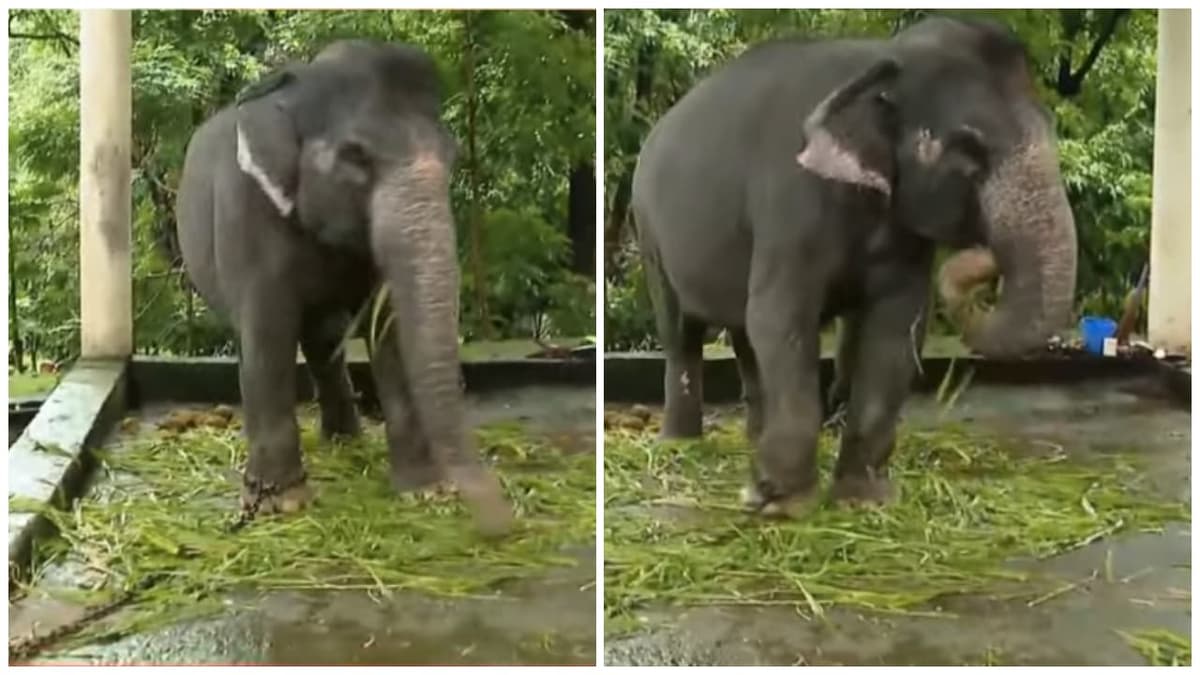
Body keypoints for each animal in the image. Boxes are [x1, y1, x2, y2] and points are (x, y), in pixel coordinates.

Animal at [175, 39, 512, 535]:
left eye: (450, 155)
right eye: (356, 156)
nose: (500, 522)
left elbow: (390, 330)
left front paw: (424, 491)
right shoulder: (247, 212)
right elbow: (269, 335)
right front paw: (283, 505)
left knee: (323, 338)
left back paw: (345, 440)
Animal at [631, 16, 1078, 515]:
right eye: (968, 149)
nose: (982, 251)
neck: (882, 59)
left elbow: (896, 330)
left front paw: (864, 500)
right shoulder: (790, 203)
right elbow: (781, 319)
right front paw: (779, 502)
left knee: (744, 335)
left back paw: (753, 440)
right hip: (648, 228)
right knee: (681, 330)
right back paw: (679, 443)